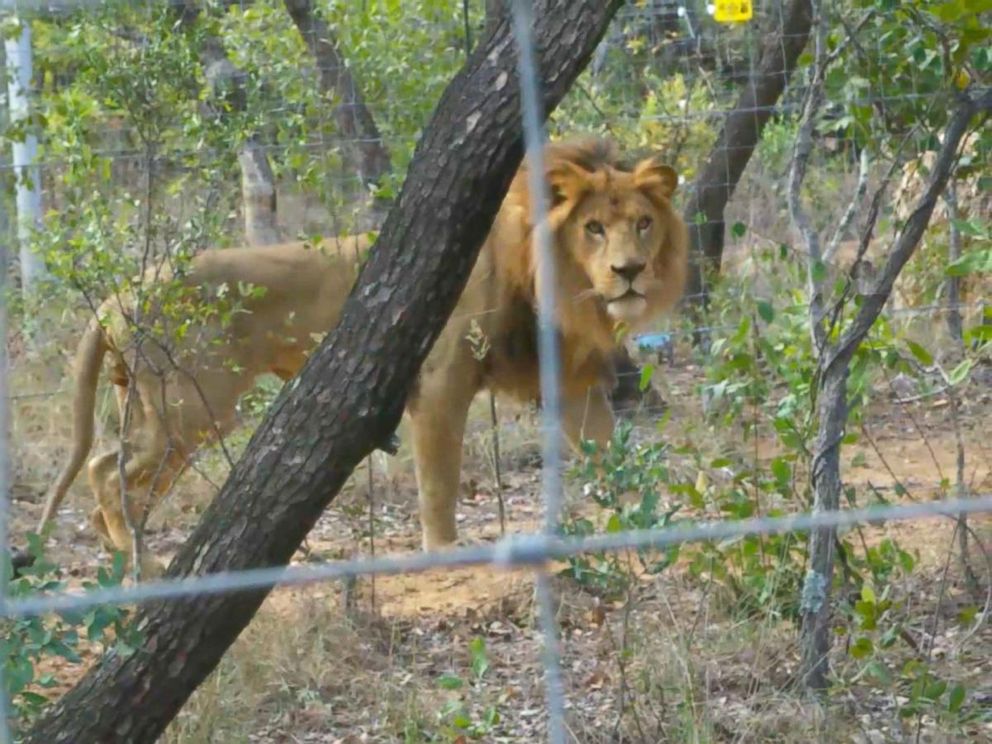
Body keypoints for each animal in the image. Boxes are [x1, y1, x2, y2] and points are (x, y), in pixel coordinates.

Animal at [40, 134, 688, 576]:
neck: (554, 284)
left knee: (108, 467)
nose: (629, 272)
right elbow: (439, 479)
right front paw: (442, 552)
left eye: (643, 224)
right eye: (594, 228)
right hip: (192, 406)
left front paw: (647, 524)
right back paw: (142, 564)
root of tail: (119, 294)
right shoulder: (439, 382)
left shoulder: (574, 388)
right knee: (107, 471)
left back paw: (124, 553)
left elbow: (613, 454)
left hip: (157, 405)